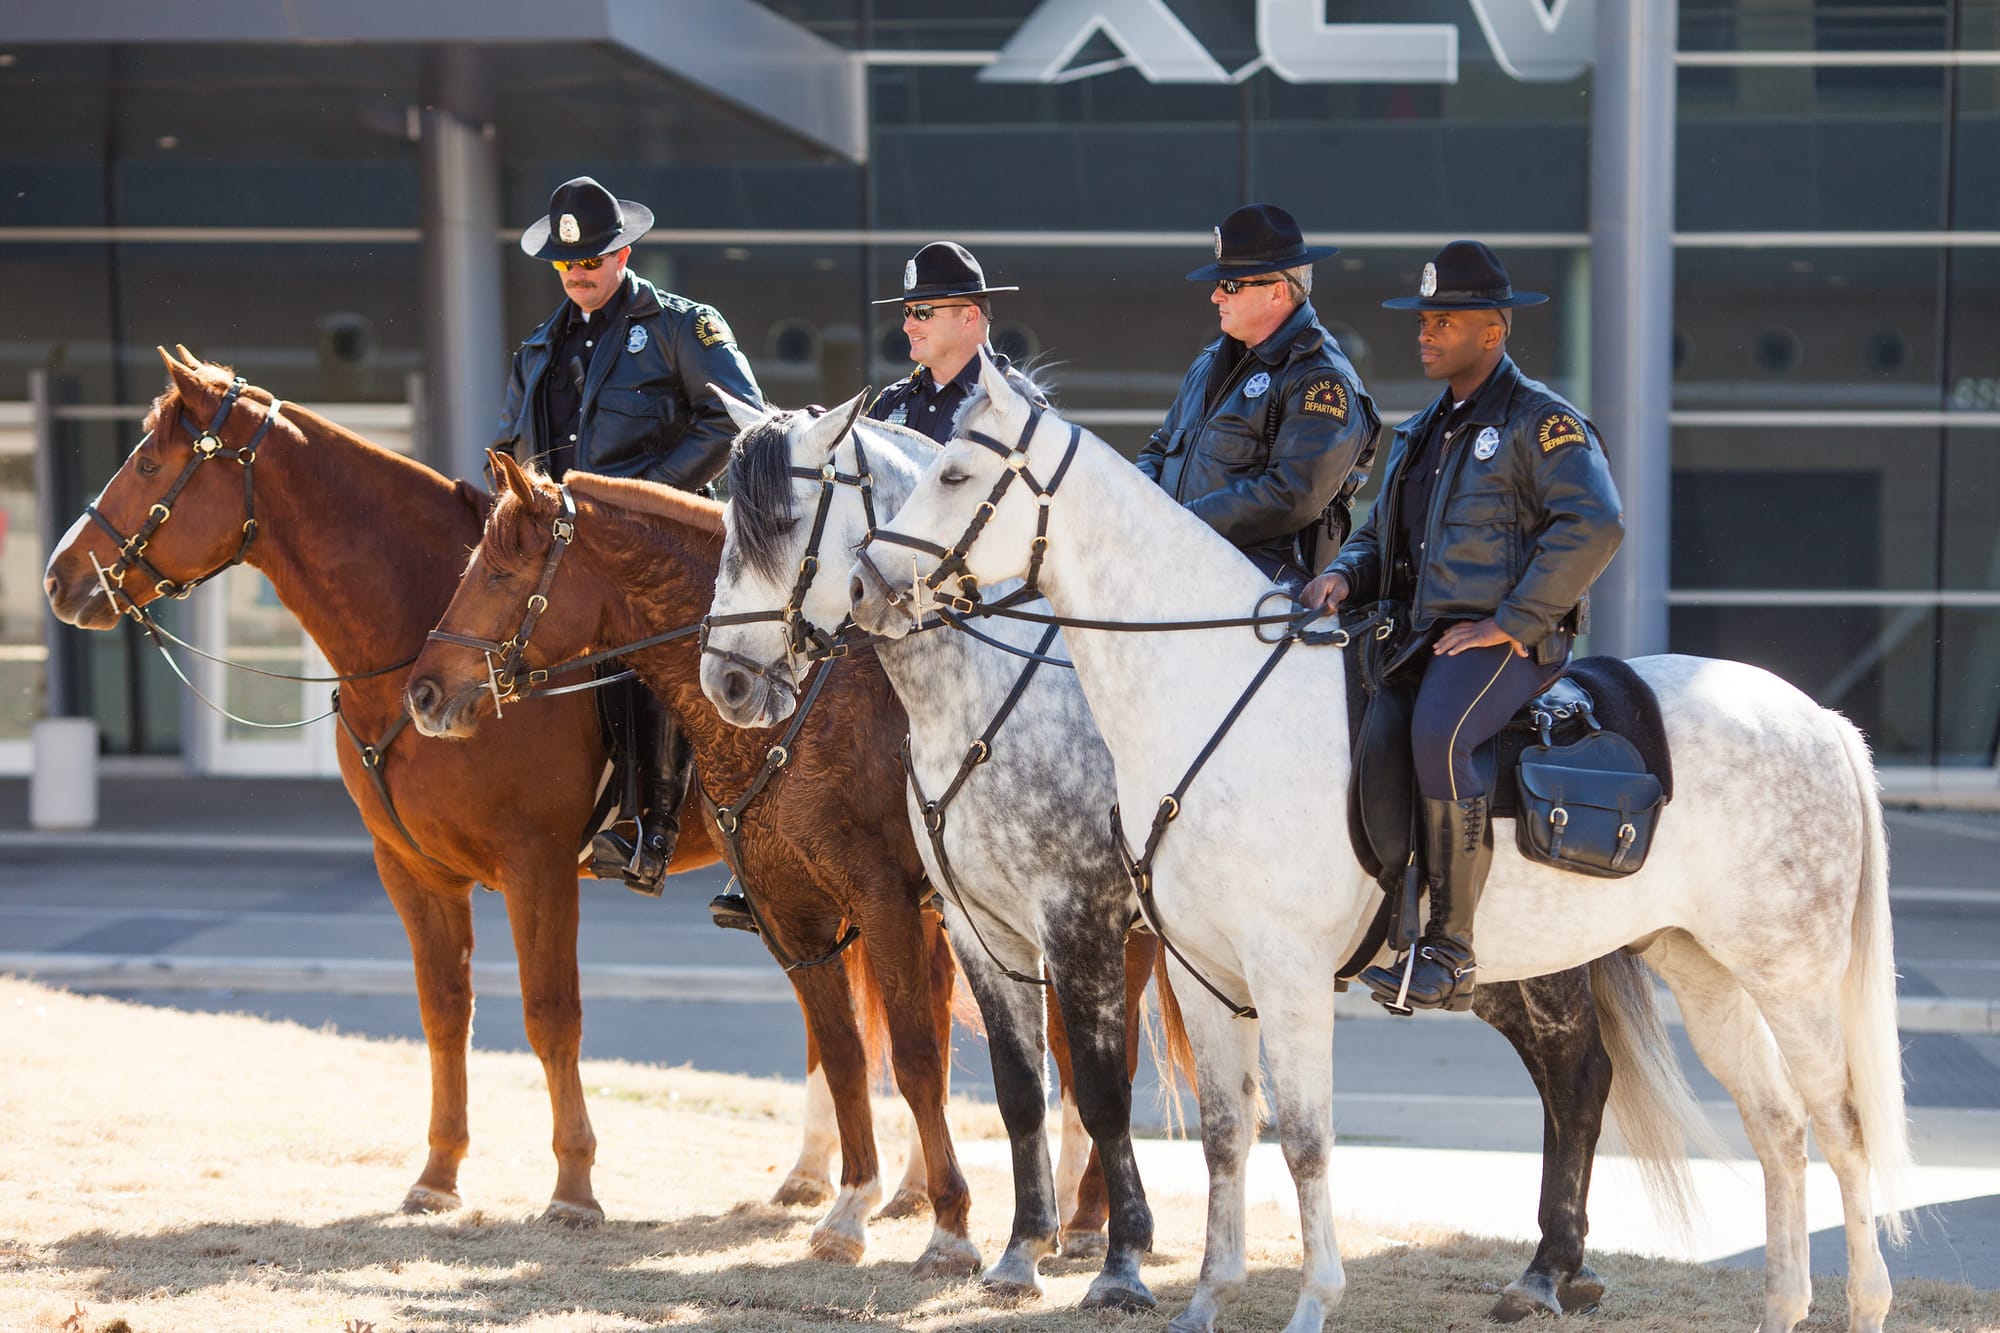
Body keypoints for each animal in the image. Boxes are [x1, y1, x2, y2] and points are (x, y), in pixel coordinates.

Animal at [39, 350, 908, 1224]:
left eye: (148, 463)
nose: (57, 578)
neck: (407, 642)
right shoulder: (411, 869)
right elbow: (445, 1012)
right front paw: (438, 1171)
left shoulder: (539, 865)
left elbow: (550, 1015)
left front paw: (573, 1185)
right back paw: (814, 1172)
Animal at [404, 460, 976, 1280]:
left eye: (500, 571)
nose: (421, 692)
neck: (796, 703)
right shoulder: (793, 917)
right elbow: (843, 1056)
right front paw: (848, 1212)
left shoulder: (884, 903)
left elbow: (916, 1058)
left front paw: (953, 1229)